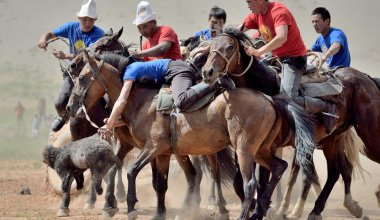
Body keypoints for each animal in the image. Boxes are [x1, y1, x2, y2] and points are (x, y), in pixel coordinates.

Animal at [66, 48, 318, 220]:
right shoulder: (162, 153)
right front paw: (159, 213)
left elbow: (131, 171)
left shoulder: (153, 147)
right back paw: (258, 211)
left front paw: (130, 208)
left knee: (250, 183)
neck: (140, 100)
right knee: (278, 167)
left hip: (244, 150)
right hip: (260, 150)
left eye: (82, 77)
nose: (70, 106)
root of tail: (269, 98)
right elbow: (160, 183)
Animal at [202, 27, 380, 220]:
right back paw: (322, 209)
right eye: (210, 46)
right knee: (336, 171)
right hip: (331, 140)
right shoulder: (247, 147)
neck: (266, 86)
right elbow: (239, 180)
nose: (207, 72)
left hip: (369, 137)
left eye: (229, 47)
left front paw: (261, 210)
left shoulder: (266, 147)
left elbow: (263, 179)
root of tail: (367, 78)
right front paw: (258, 208)